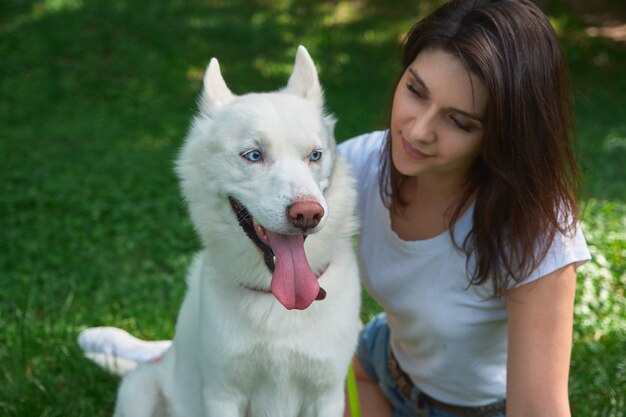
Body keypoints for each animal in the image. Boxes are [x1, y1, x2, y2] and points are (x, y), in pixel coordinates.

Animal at [85, 46, 364, 416]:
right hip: (138, 391)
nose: (308, 214)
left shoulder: (328, 395)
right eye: (253, 155)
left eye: (315, 155)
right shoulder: (222, 393)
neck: (275, 301)